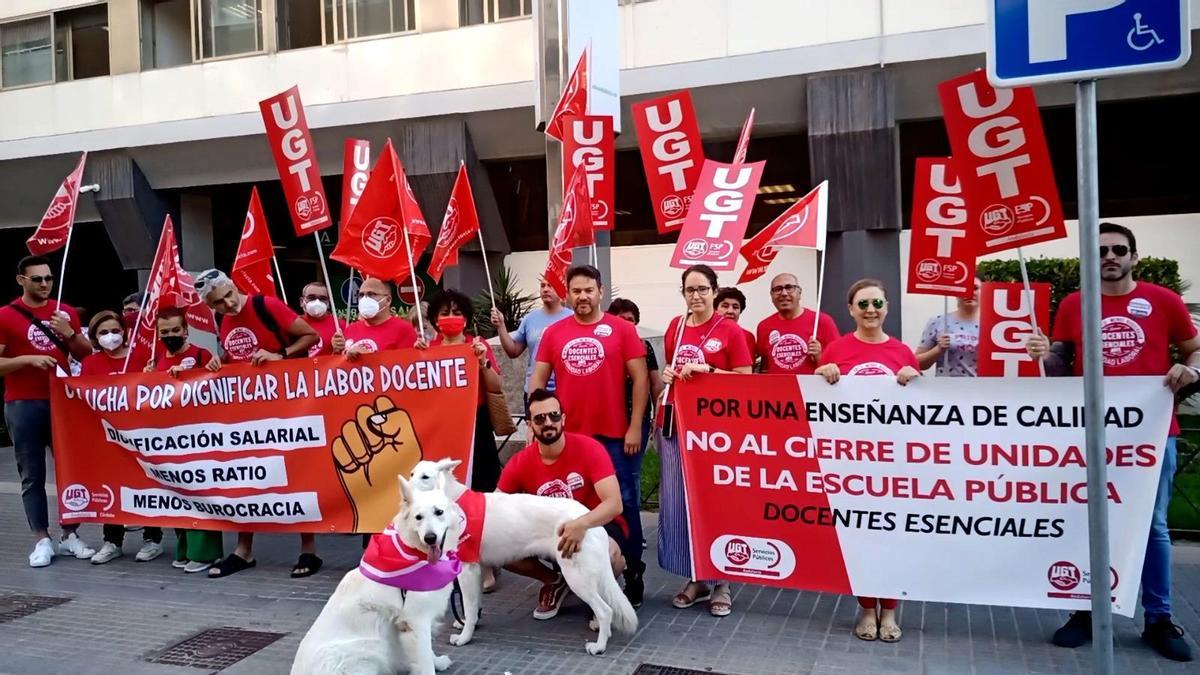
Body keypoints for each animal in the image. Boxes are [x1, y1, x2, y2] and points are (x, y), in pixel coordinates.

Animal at [292, 473, 465, 672]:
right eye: (418, 517)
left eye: (439, 512)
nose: (430, 538)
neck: (413, 552)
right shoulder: (417, 620)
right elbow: (425, 659)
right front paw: (431, 666)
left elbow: (427, 653)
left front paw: (438, 662)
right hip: (372, 648)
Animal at [410, 456, 638, 653]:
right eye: (412, 474)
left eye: (425, 477)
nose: (406, 492)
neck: (450, 506)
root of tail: (590, 521)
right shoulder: (479, 569)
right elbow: (475, 607)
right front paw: (465, 623)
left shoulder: (467, 570)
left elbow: (469, 605)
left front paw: (465, 637)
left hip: (577, 578)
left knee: (606, 611)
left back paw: (599, 646)